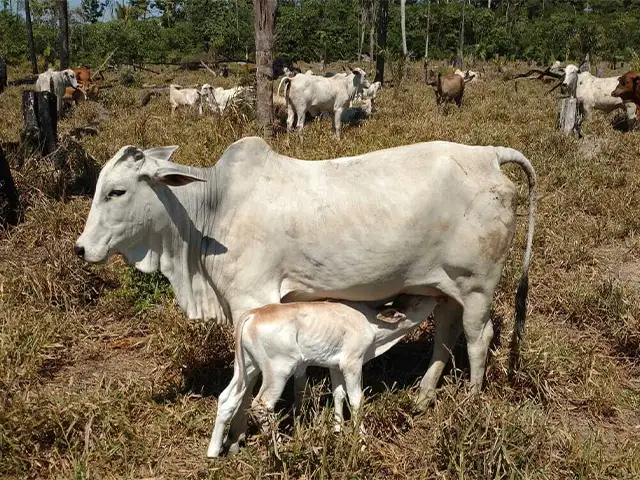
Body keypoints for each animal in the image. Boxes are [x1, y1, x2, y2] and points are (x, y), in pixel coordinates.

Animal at [209, 292, 440, 458]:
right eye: (419, 299)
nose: (439, 296)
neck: (371, 324)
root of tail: (254, 314)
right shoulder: (352, 363)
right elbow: (357, 400)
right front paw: (363, 442)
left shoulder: (335, 366)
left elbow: (338, 394)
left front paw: (337, 431)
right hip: (278, 370)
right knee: (262, 404)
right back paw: (279, 447)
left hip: (248, 366)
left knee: (228, 398)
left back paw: (213, 453)